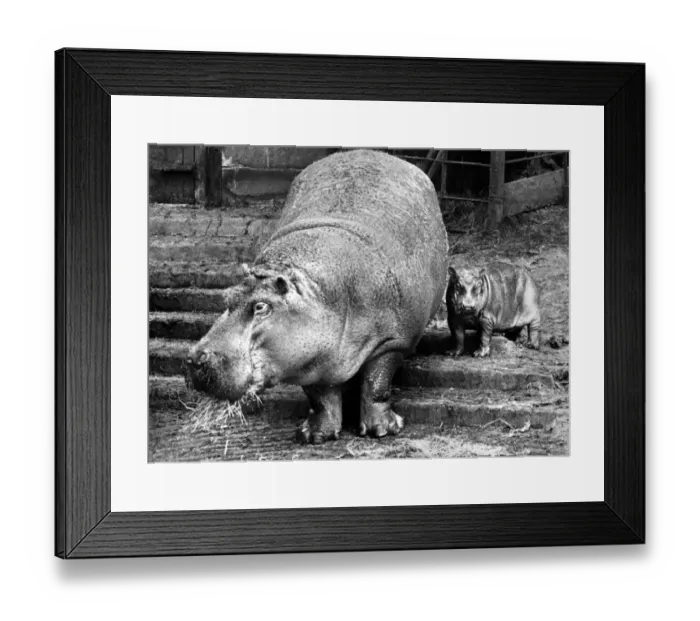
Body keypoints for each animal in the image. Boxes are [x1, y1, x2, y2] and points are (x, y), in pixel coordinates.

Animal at [186, 149, 449, 444]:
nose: (194, 359)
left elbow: (376, 384)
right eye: (226, 296)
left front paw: (382, 430)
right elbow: (320, 397)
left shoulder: (393, 342)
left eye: (261, 306)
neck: (317, 294)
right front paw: (314, 436)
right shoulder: (310, 359)